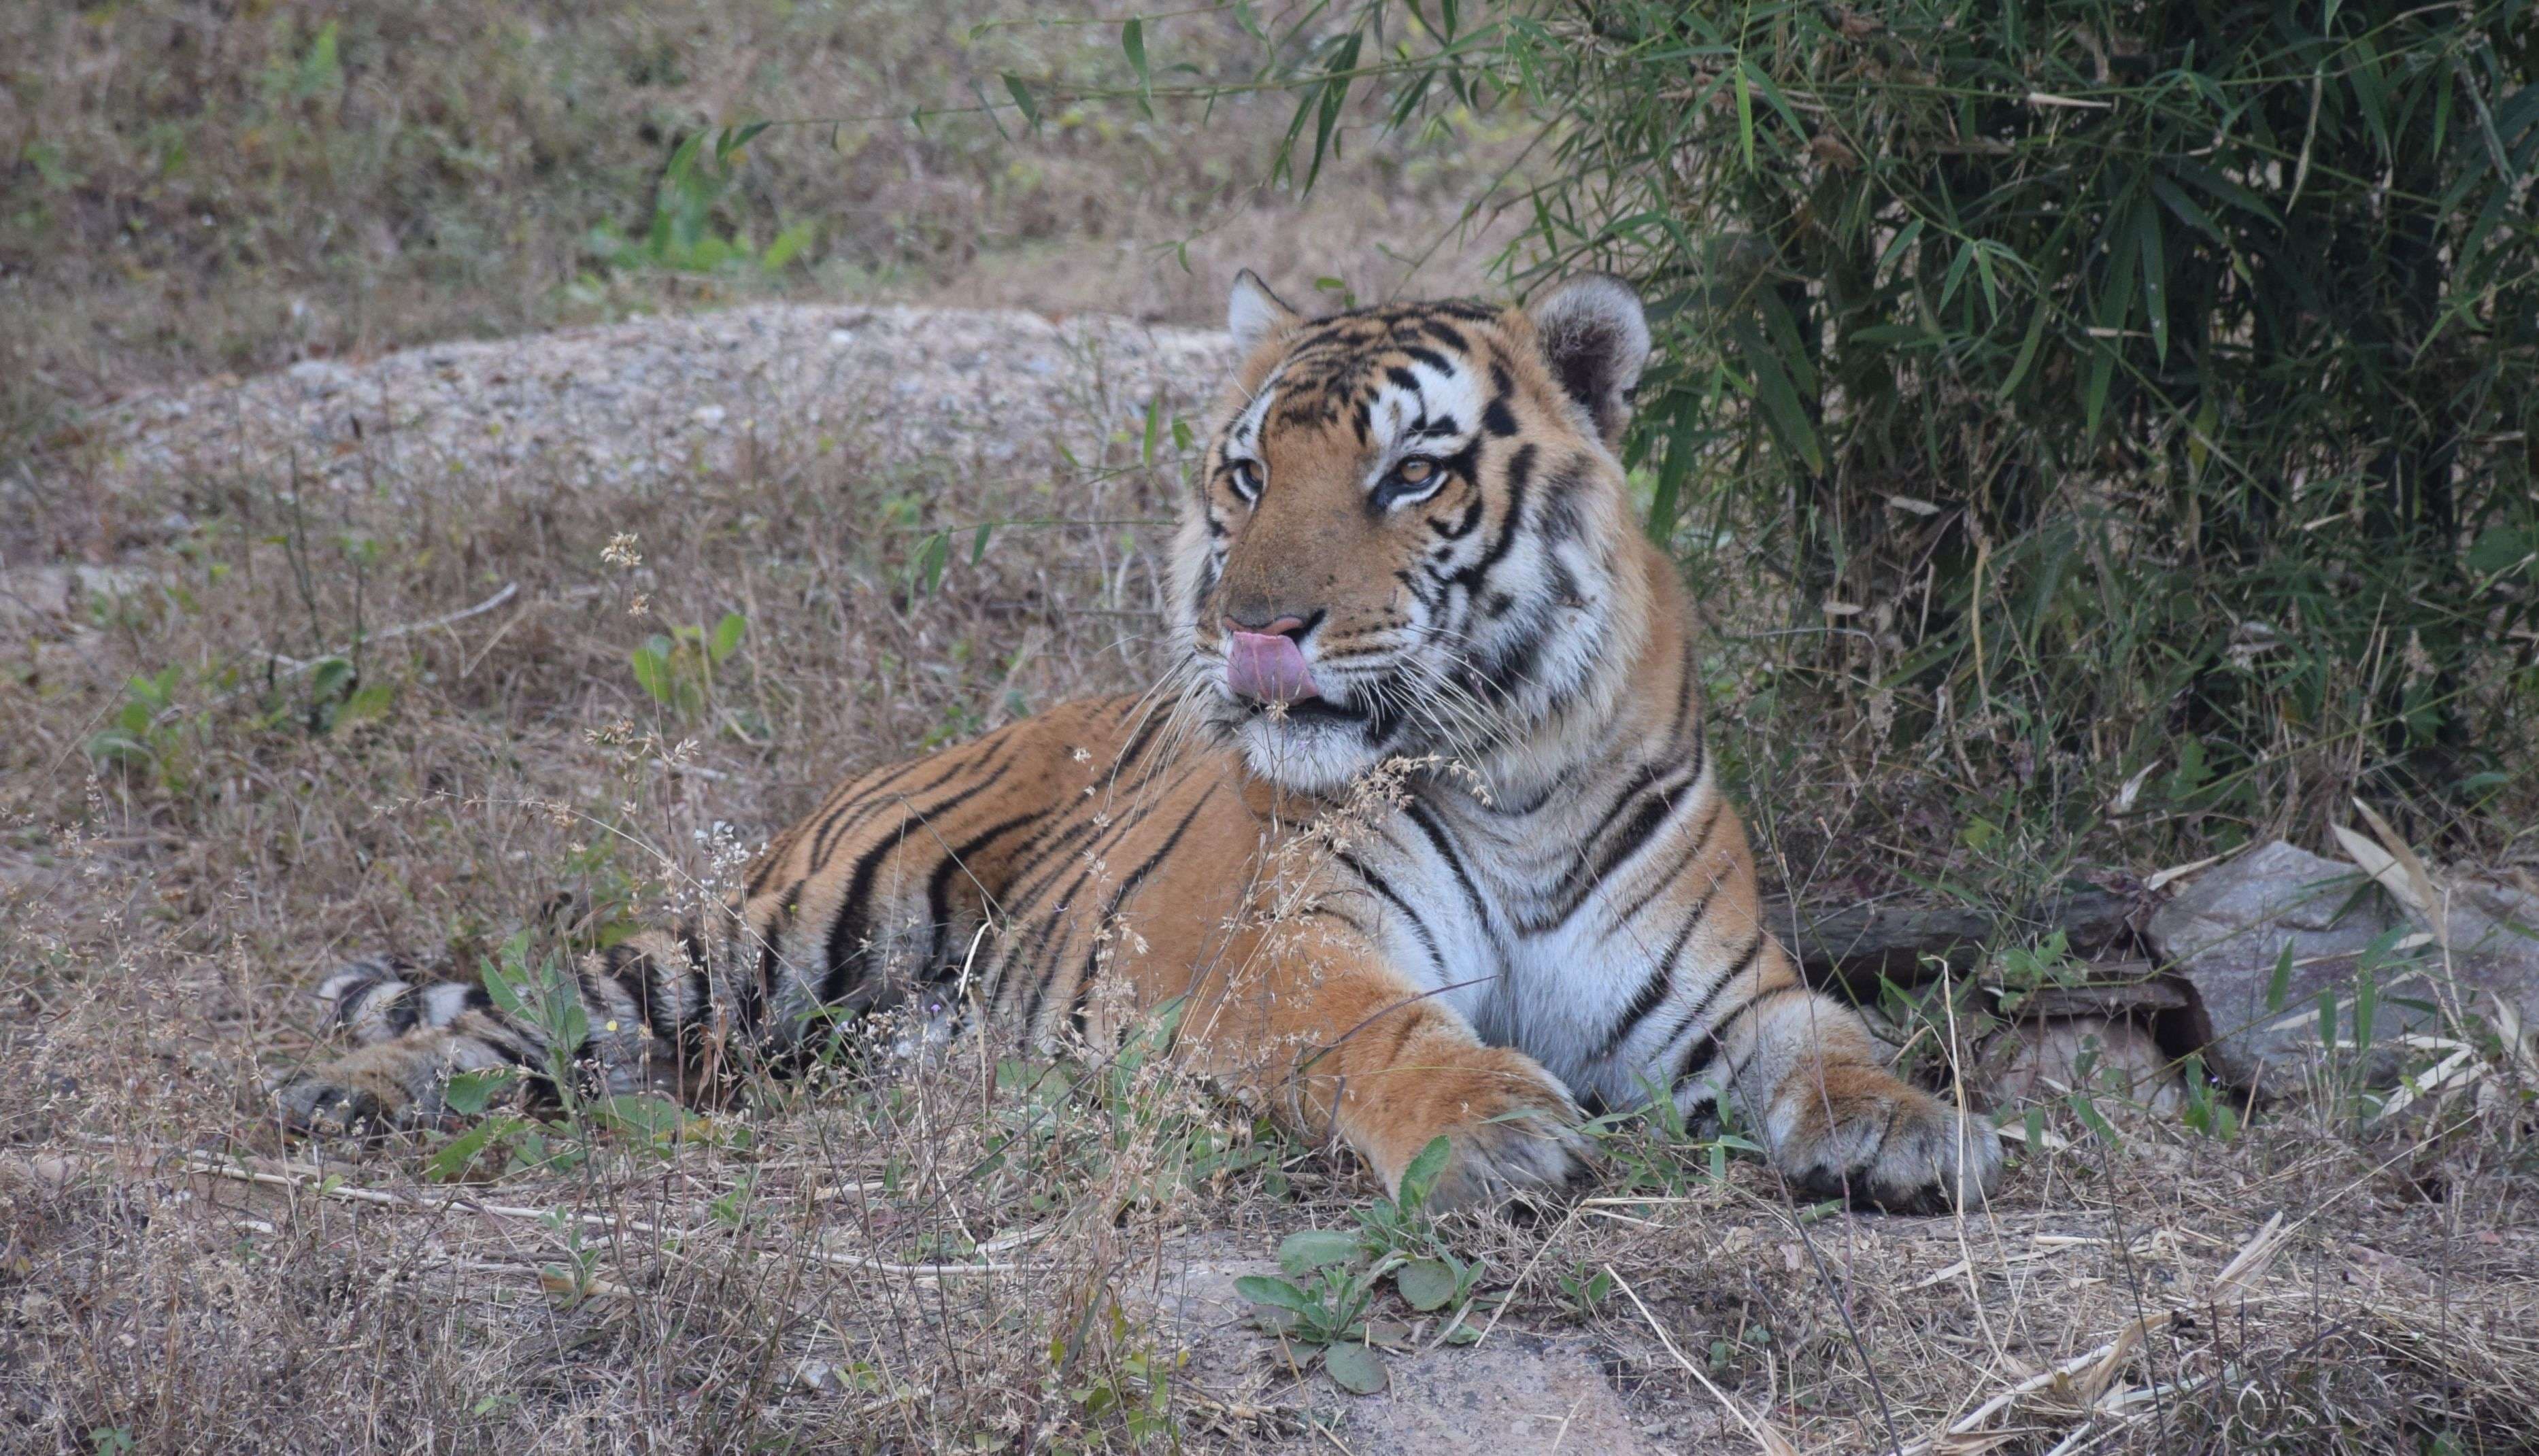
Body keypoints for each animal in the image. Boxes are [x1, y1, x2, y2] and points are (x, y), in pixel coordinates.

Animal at [273, 271, 2000, 1207]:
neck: (1504, 765)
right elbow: (1389, 1029)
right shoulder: (1280, 952)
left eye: (1410, 473)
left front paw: (1921, 1130)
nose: (1252, 621)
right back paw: (346, 1093)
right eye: (1247, 473)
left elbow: (1831, 1044)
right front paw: (1498, 1127)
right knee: (550, 1011)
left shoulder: (1723, 994)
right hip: (786, 924)